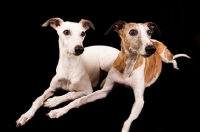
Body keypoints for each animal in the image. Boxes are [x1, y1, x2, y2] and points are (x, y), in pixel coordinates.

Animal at [43, 20, 190, 132]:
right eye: (132, 32)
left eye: (149, 32)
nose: (151, 49)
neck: (128, 64)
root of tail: (156, 41)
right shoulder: (104, 91)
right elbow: (79, 100)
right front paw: (59, 111)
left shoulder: (139, 100)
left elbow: (127, 121)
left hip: (165, 56)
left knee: (173, 59)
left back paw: (176, 66)